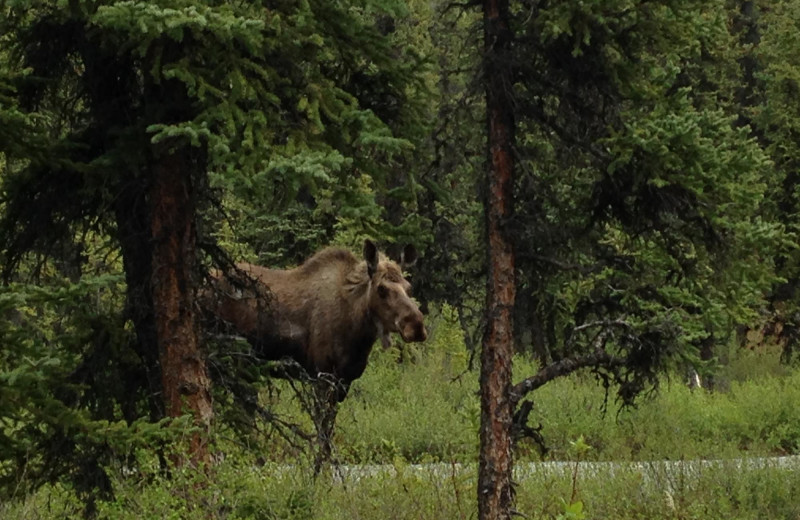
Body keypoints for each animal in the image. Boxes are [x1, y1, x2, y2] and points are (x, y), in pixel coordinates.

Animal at [202, 240, 424, 468]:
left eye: (408, 287)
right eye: (381, 289)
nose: (416, 326)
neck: (358, 330)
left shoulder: (343, 382)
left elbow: (328, 431)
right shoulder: (322, 377)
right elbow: (322, 432)